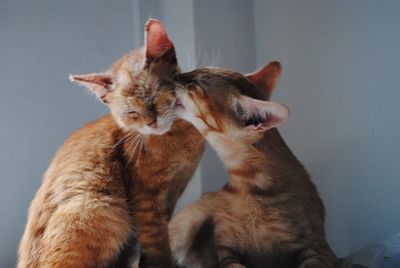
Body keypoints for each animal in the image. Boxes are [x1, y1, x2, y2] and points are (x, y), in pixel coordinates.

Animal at [16, 19, 203, 268]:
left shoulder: (174, 191)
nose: (152, 122)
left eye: (155, 95)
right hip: (104, 208)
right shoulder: (146, 197)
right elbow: (156, 239)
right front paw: (163, 262)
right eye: (131, 112)